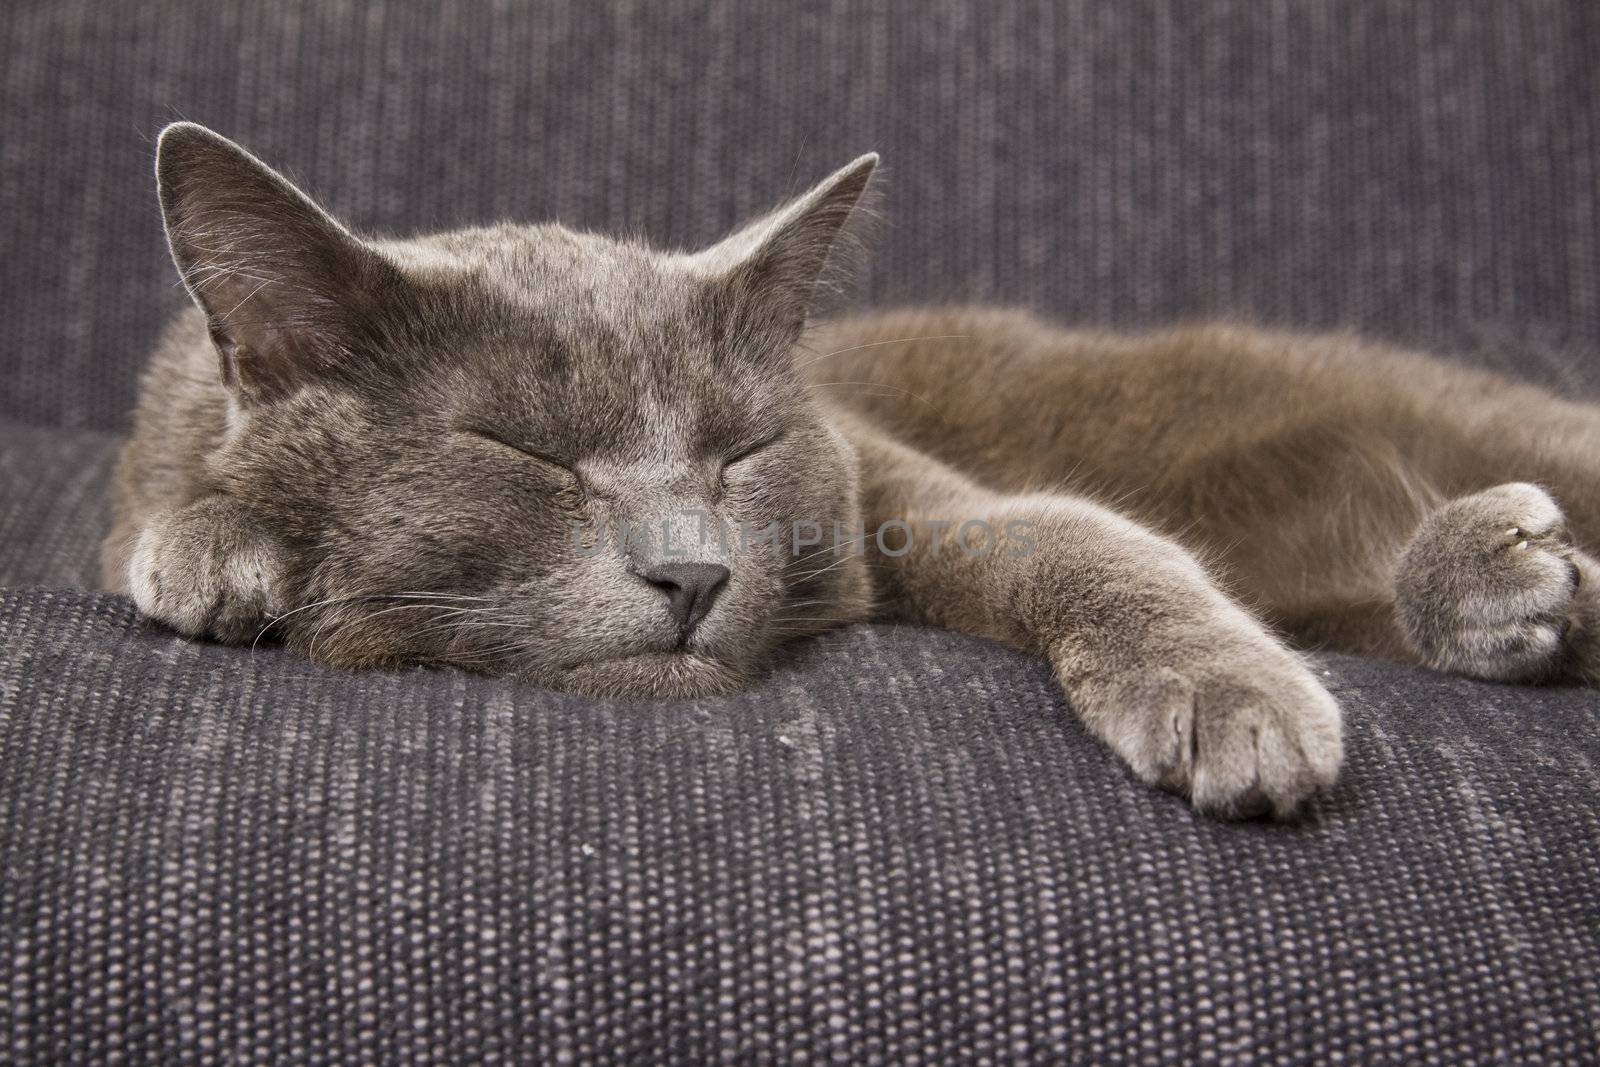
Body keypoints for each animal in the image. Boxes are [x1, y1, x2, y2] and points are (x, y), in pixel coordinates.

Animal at [103, 125, 1600, 825]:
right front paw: (215, 544)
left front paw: (1231, 701)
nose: (693, 568)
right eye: (523, 453)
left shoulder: (892, 492)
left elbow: (1074, 532)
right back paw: (1517, 586)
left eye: (744, 450)